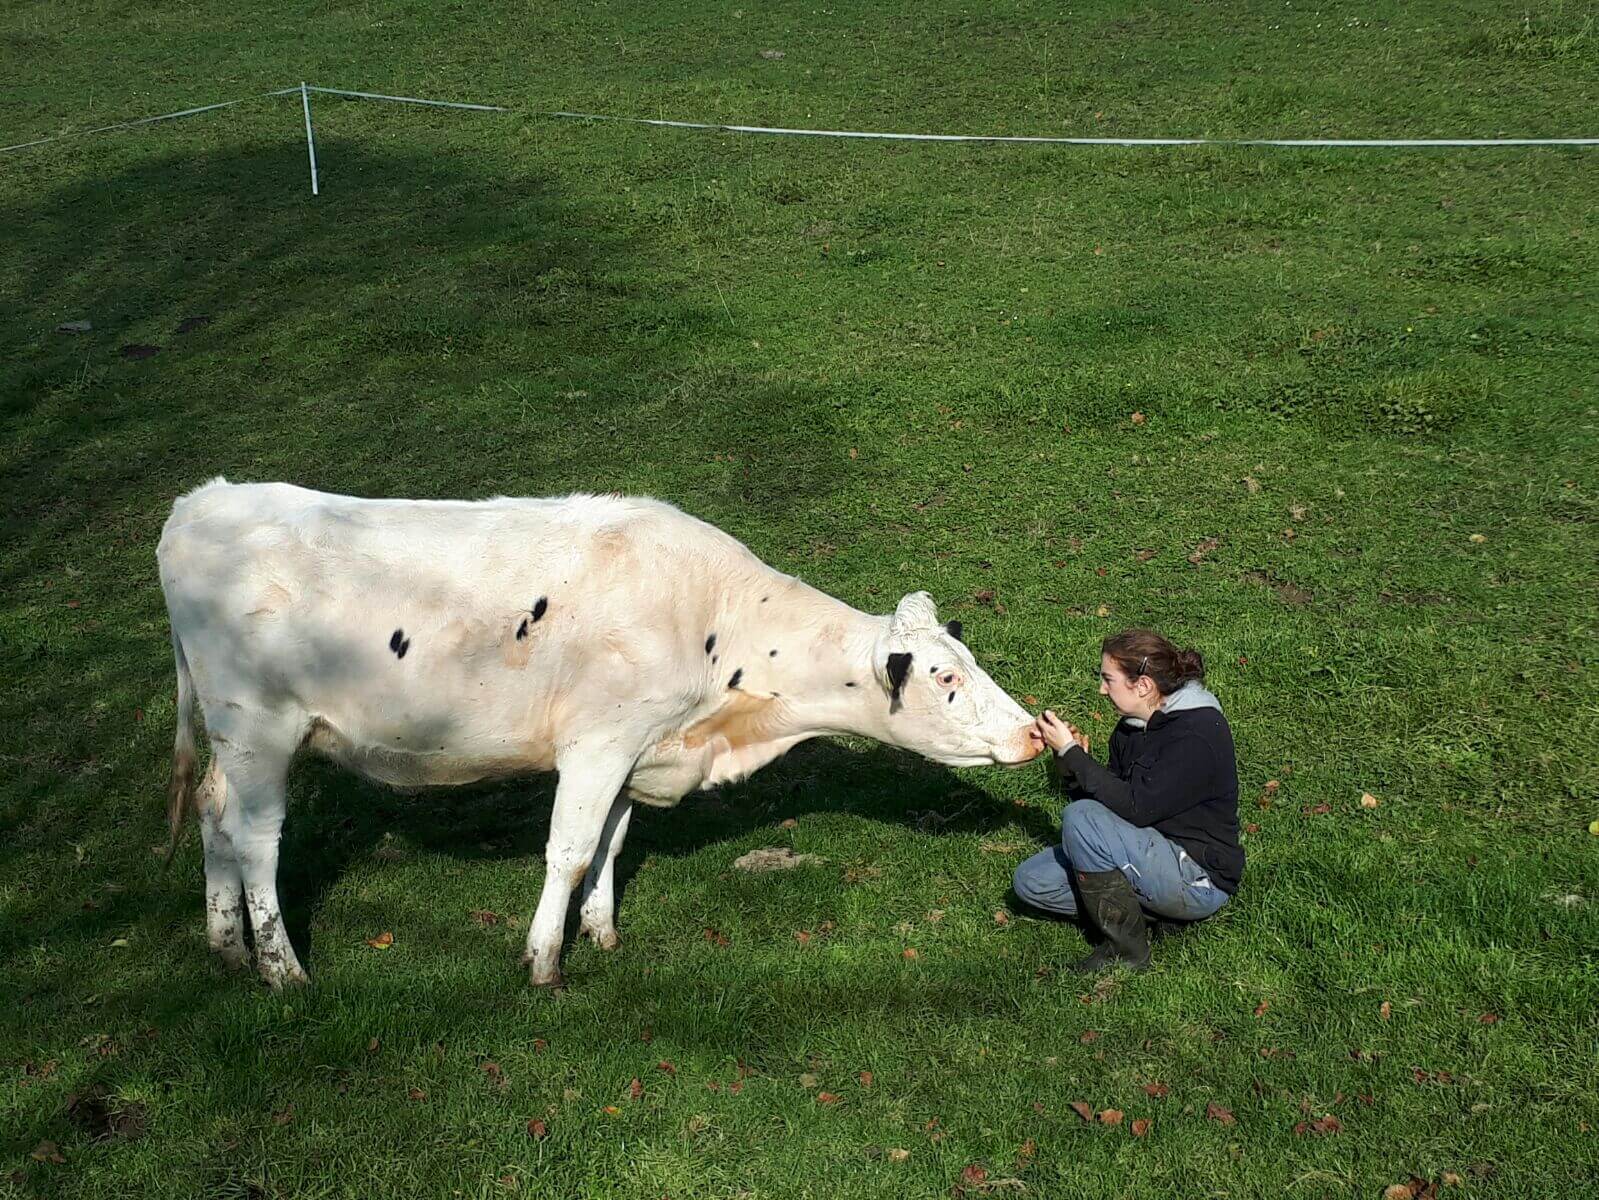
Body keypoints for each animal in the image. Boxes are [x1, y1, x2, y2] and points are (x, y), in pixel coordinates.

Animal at [155, 483, 1042, 992]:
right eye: (946, 678)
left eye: (966, 660)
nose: (1035, 732)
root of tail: (201, 500)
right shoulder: (599, 743)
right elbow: (572, 850)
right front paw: (545, 961)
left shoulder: (640, 748)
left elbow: (613, 842)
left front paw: (603, 933)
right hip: (259, 727)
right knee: (257, 839)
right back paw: (281, 969)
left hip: (233, 738)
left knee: (212, 811)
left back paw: (225, 947)